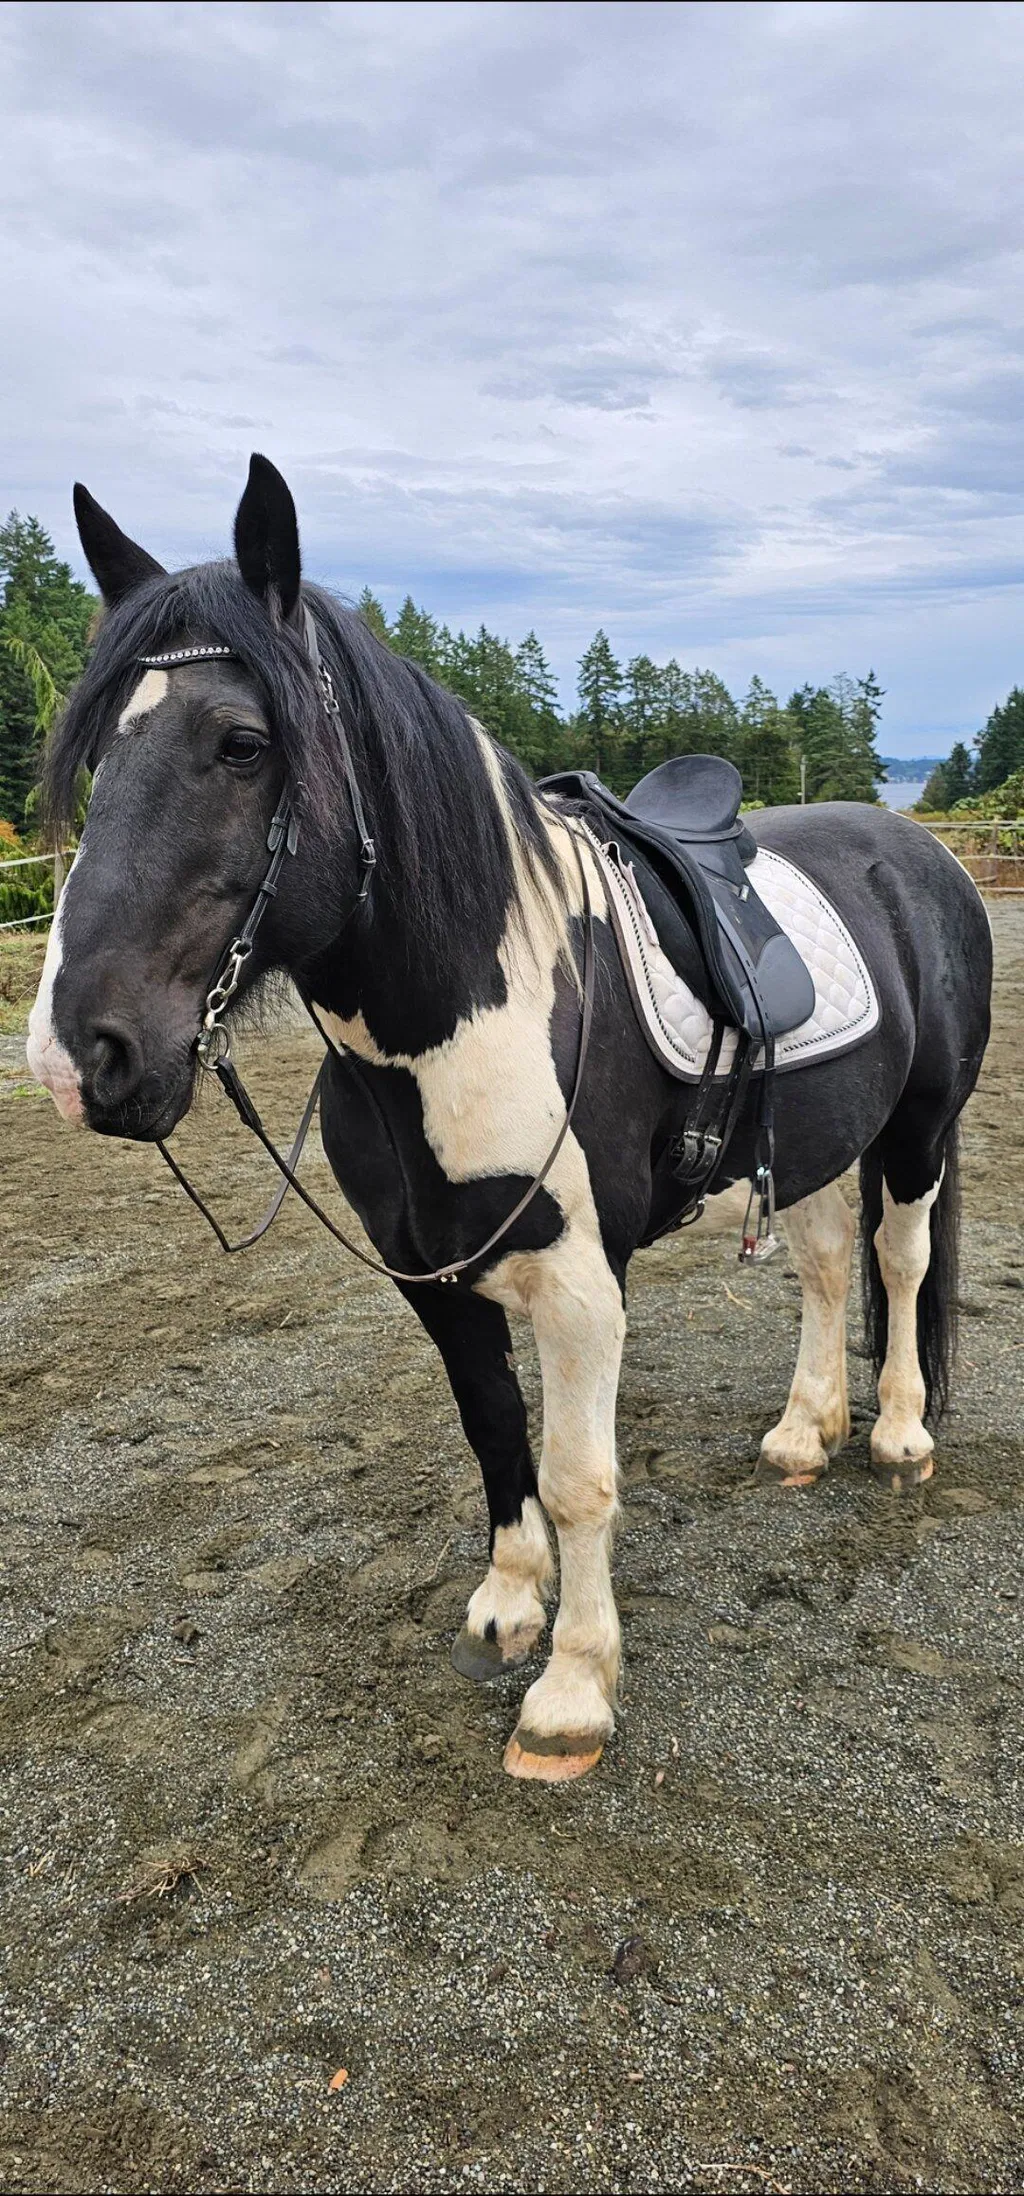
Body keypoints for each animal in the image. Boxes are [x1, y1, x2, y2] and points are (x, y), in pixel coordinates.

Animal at [27, 454, 993, 1784]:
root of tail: (913, 847)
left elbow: (579, 1474)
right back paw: (805, 1433)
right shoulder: (431, 1274)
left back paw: (896, 1432)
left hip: (917, 1129)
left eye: (241, 743)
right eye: (90, 758)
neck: (454, 1028)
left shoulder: (581, 1284)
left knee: (897, 1260)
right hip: (804, 1148)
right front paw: (506, 1608)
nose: (80, 1058)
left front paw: (572, 1693)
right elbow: (494, 1436)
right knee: (823, 1269)